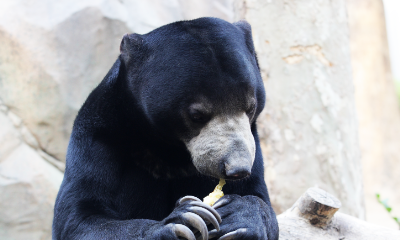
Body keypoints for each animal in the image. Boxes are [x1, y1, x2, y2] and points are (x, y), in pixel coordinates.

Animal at [53, 17, 278, 240]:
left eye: (250, 107)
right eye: (197, 115)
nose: (237, 169)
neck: (169, 147)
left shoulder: (253, 140)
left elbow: (257, 196)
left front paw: (239, 216)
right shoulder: (100, 135)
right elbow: (80, 217)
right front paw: (185, 219)